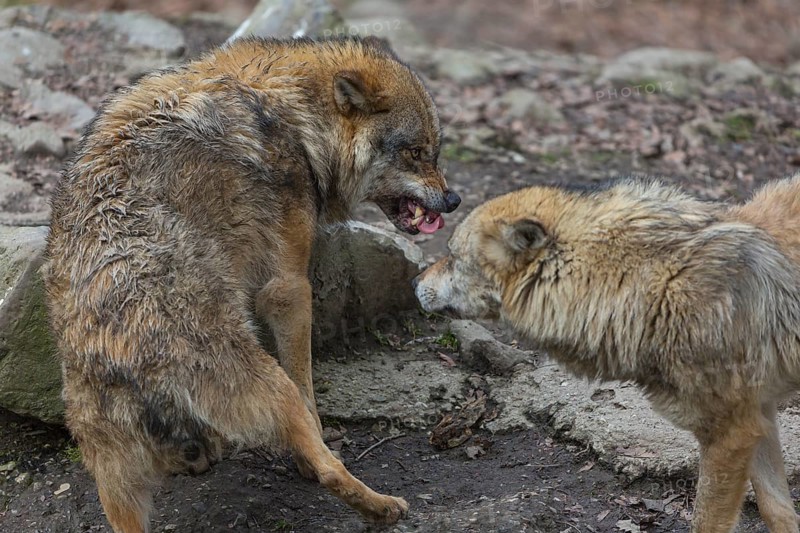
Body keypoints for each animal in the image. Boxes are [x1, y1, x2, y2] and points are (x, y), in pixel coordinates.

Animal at [44, 36, 459, 532]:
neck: (295, 115)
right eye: (415, 153)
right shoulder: (287, 288)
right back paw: (382, 506)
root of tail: (122, 362)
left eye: (434, 152)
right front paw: (316, 445)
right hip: (271, 385)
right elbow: (308, 390)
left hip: (115, 485)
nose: (454, 199)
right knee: (326, 466)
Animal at [414, 176, 800, 533]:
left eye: (452, 256)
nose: (414, 281)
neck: (644, 287)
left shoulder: (731, 432)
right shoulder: (757, 417)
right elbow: (777, 510)